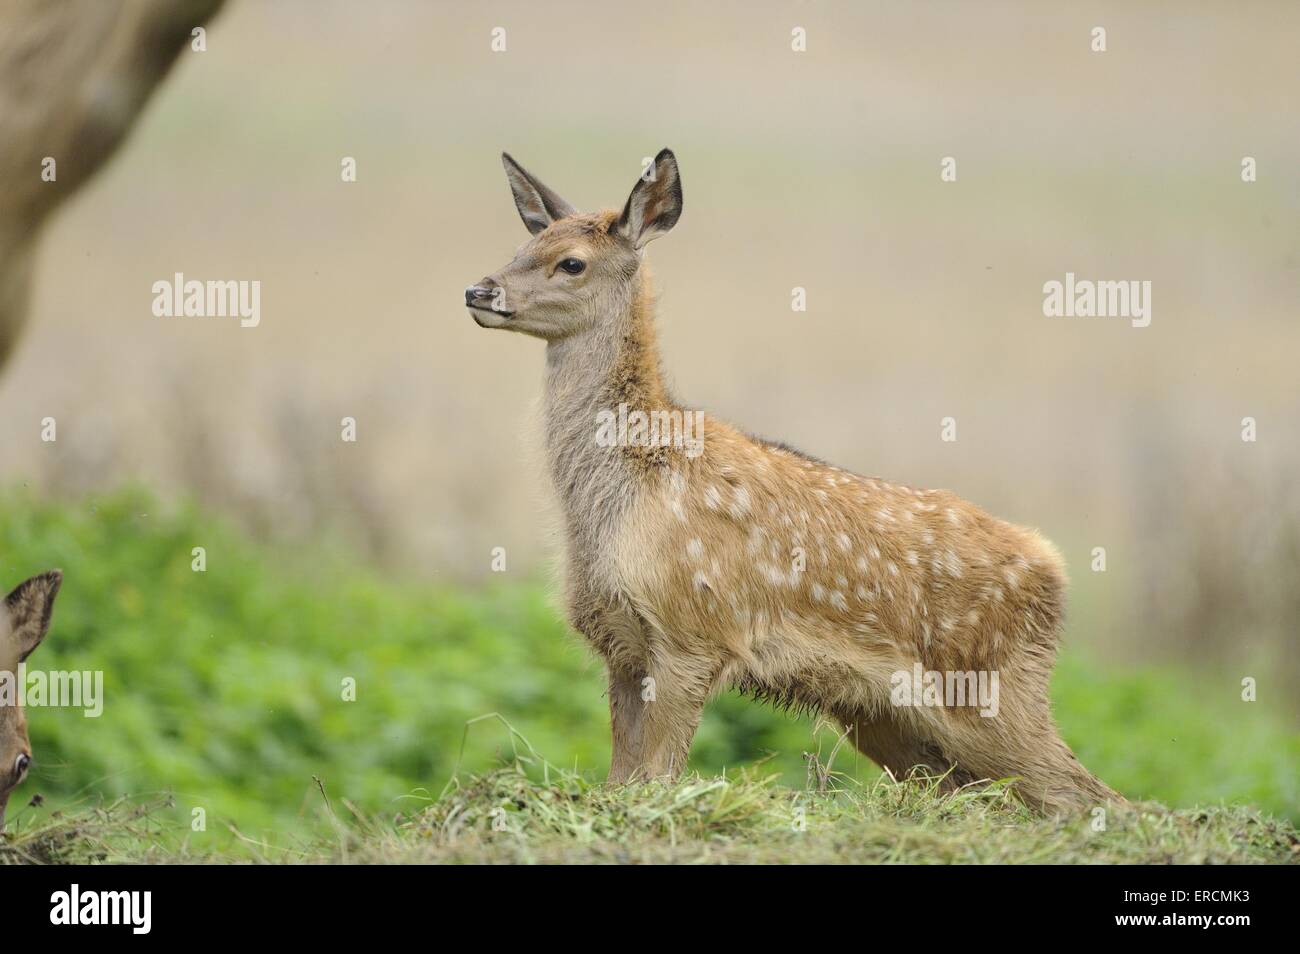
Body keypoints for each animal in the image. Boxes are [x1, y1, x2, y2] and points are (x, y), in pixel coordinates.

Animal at [466, 149, 1119, 813]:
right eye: (524, 244)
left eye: (571, 262)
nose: (479, 289)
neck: (629, 491)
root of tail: (1051, 565)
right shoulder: (619, 644)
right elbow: (622, 778)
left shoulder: (695, 628)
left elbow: (658, 775)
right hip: (887, 717)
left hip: (991, 686)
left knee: (1090, 797)